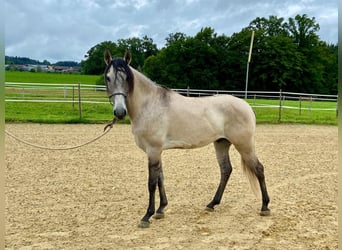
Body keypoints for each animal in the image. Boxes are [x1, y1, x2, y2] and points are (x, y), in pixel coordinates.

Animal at [103, 48, 270, 229]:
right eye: (108, 77)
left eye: (127, 78)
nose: (120, 112)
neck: (149, 105)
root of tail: (246, 106)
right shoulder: (157, 152)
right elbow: (161, 178)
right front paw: (161, 209)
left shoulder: (153, 150)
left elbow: (152, 183)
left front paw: (147, 216)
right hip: (221, 144)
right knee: (226, 170)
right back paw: (212, 204)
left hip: (244, 144)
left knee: (259, 169)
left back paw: (265, 207)